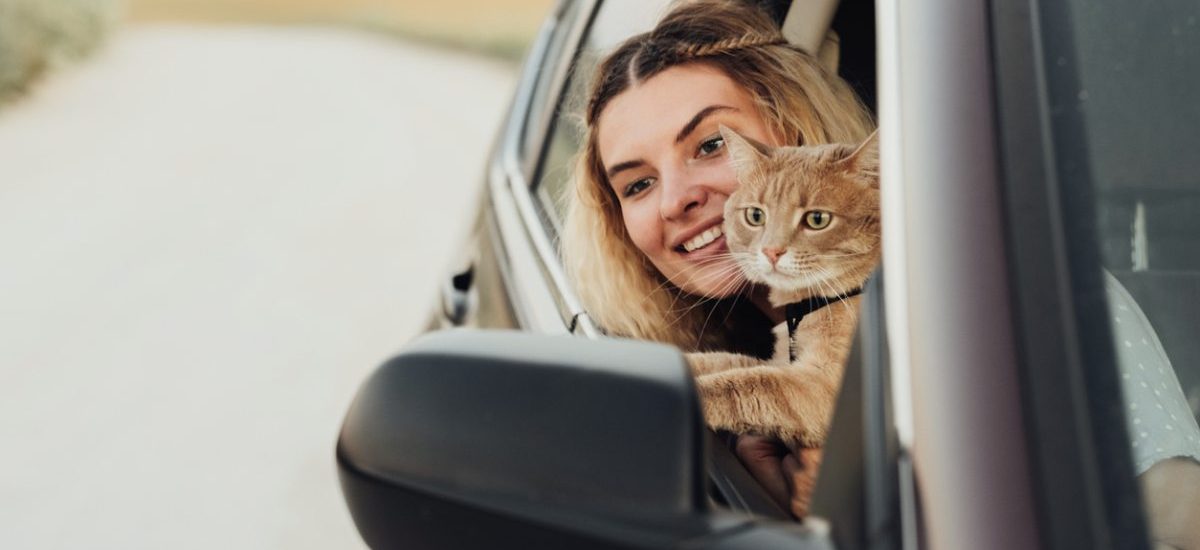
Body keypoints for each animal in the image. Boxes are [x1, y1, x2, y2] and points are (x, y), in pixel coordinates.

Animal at [686, 125, 883, 451]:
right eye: (755, 216)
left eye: (817, 219)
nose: (771, 251)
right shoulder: (779, 362)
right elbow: (724, 360)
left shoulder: (819, 388)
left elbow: (745, 384)